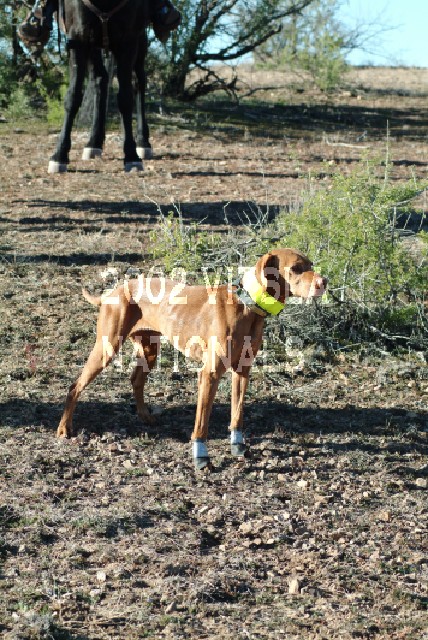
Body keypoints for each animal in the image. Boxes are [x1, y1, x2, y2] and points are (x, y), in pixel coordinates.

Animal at [48, 0, 153, 174]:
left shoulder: (129, 40)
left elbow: (125, 99)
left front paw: (131, 156)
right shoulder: (79, 39)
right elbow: (73, 97)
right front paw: (59, 155)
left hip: (139, 40)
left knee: (139, 81)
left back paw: (143, 142)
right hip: (93, 44)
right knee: (100, 79)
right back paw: (93, 142)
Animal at [57, 248, 327, 470]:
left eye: (311, 264)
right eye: (295, 268)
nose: (323, 282)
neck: (247, 307)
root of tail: (112, 292)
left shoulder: (242, 371)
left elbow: (237, 413)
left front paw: (238, 446)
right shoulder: (209, 374)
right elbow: (202, 422)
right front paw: (201, 457)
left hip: (149, 350)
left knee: (136, 380)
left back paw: (145, 416)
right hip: (107, 347)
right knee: (75, 386)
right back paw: (64, 428)